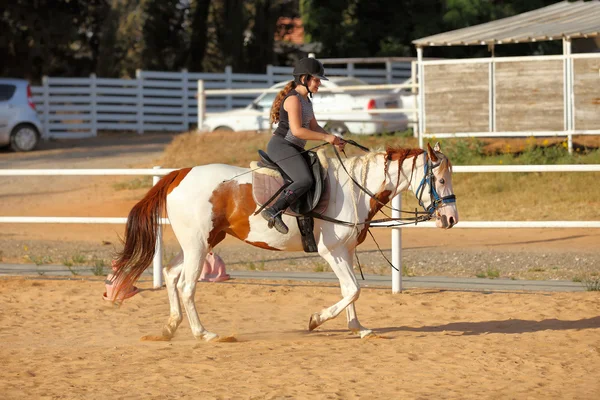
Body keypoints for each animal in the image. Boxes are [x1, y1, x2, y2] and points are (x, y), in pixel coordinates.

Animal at [112, 142, 460, 340]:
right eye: (440, 180)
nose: (451, 219)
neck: (355, 188)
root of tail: (180, 174)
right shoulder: (331, 251)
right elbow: (352, 289)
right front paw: (316, 320)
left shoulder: (345, 251)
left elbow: (351, 291)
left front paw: (358, 328)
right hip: (198, 245)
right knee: (186, 285)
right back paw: (203, 333)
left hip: (201, 242)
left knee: (171, 274)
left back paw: (171, 327)